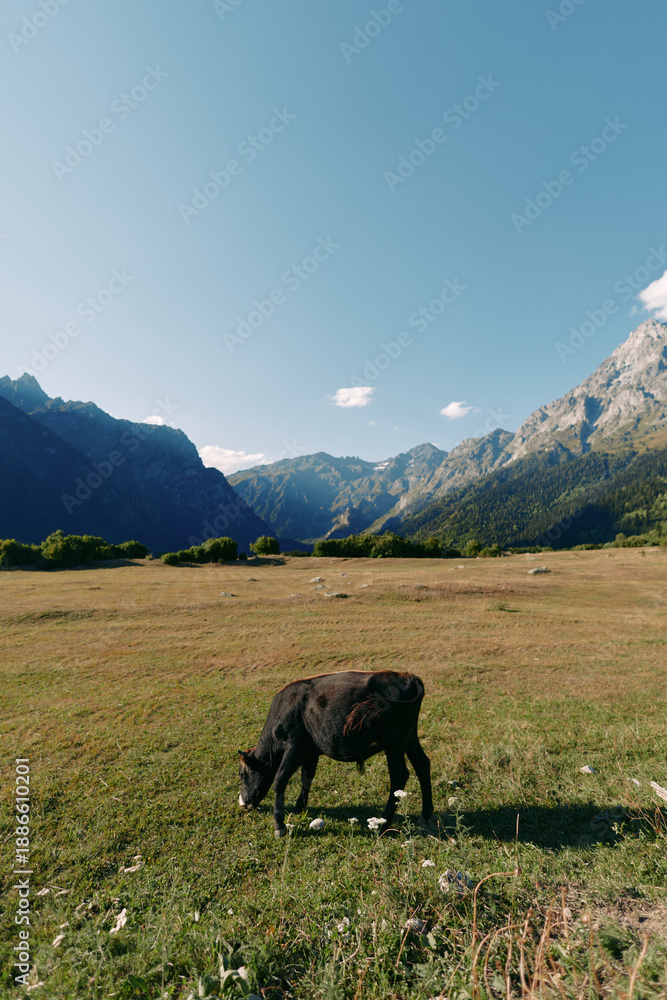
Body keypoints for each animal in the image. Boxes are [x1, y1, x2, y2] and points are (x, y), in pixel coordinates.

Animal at [238, 669, 434, 837]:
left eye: (242, 774)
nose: (243, 802)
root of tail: (407, 676)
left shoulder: (295, 748)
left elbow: (280, 780)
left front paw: (279, 826)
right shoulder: (311, 751)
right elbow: (307, 778)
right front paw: (298, 808)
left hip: (394, 743)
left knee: (399, 776)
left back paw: (383, 823)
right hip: (409, 738)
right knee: (422, 765)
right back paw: (426, 815)